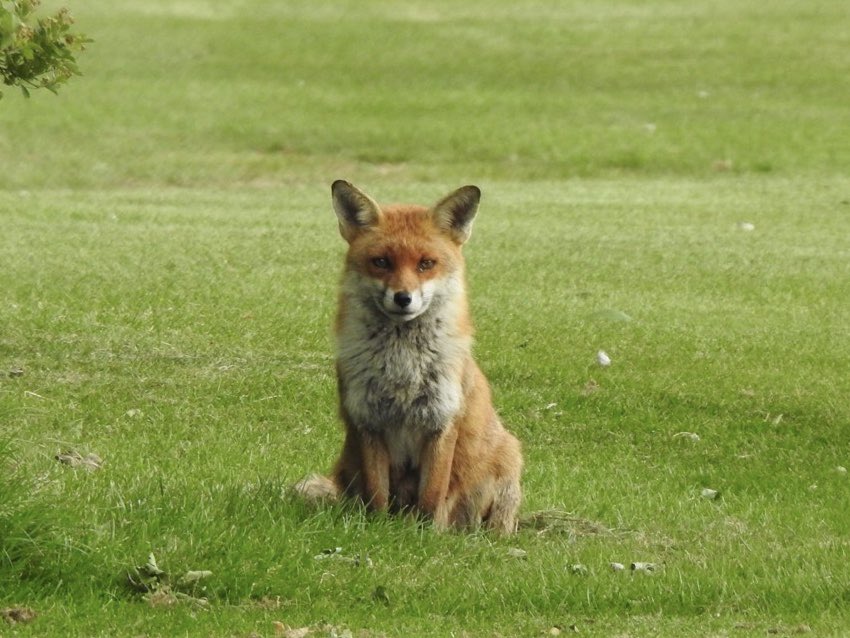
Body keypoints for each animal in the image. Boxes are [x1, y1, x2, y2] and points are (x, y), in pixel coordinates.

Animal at [296, 181, 522, 533]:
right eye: (381, 262)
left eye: (426, 264)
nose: (403, 298)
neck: (402, 368)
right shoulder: (368, 422)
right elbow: (377, 495)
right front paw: (377, 530)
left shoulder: (441, 420)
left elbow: (432, 495)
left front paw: (423, 536)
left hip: (508, 463)